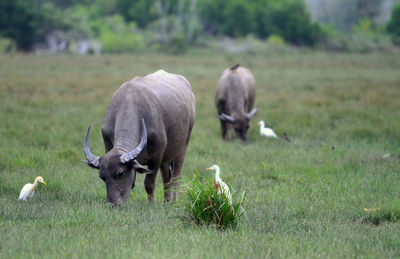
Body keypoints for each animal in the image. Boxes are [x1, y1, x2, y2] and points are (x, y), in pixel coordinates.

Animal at [84, 70, 195, 206]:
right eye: (102, 176)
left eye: (121, 173)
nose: (113, 204)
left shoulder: (157, 156)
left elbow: (149, 184)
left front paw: (151, 203)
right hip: (167, 156)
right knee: (166, 175)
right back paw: (166, 201)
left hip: (183, 144)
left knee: (176, 175)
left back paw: (174, 201)